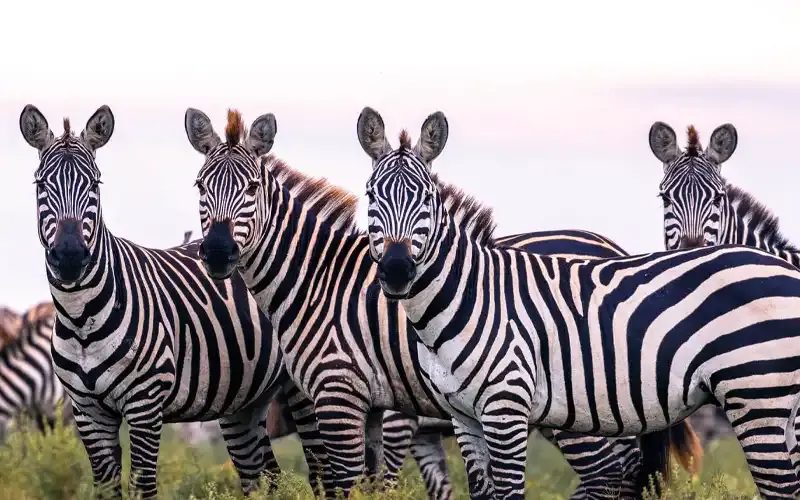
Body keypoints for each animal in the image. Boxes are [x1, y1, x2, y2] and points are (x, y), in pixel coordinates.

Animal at [18, 105, 328, 498]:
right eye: (40, 185)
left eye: (95, 185)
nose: (71, 257)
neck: (81, 317)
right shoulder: (87, 411)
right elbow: (106, 487)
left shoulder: (144, 405)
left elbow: (143, 486)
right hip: (245, 400)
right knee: (265, 478)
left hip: (304, 390)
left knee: (322, 472)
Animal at [183, 108, 695, 499]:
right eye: (199, 187)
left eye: (252, 189)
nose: (217, 254)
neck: (319, 279)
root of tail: (612, 247)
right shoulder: (374, 406)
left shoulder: (336, 394)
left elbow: (343, 483)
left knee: (608, 477)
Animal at [359, 108, 800, 499]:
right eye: (370, 196)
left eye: (428, 198)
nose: (396, 270)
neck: (469, 294)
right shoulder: (464, 417)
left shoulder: (502, 408)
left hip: (757, 398)